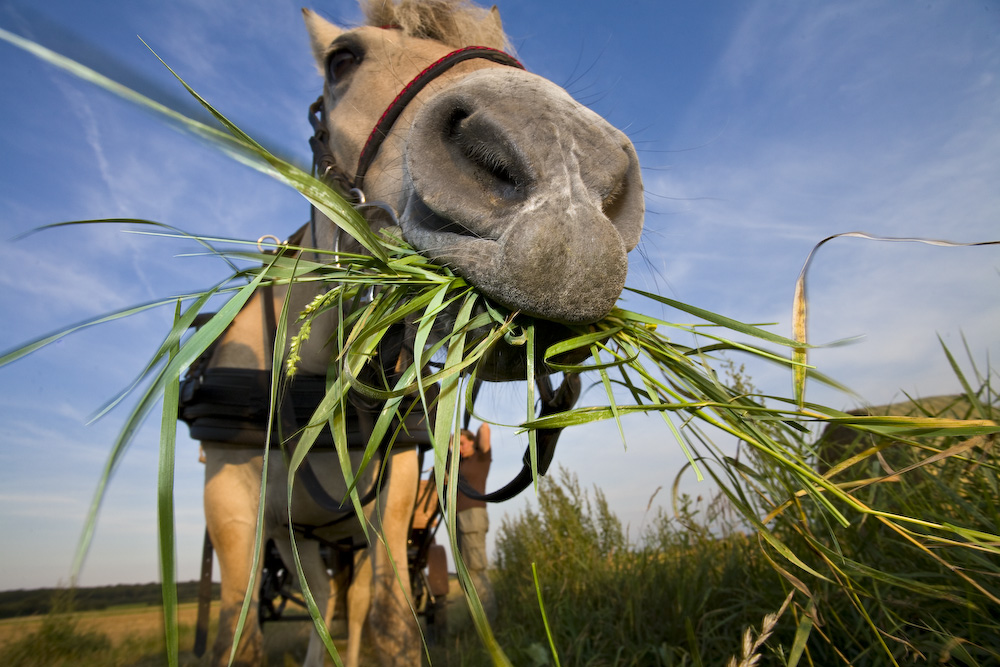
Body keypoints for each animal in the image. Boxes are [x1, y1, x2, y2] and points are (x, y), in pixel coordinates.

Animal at [185, 2, 644, 664]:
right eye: (341, 60)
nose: (568, 196)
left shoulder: (392, 493)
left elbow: (389, 621)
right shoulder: (233, 506)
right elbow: (237, 639)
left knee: (345, 604)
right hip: (297, 538)